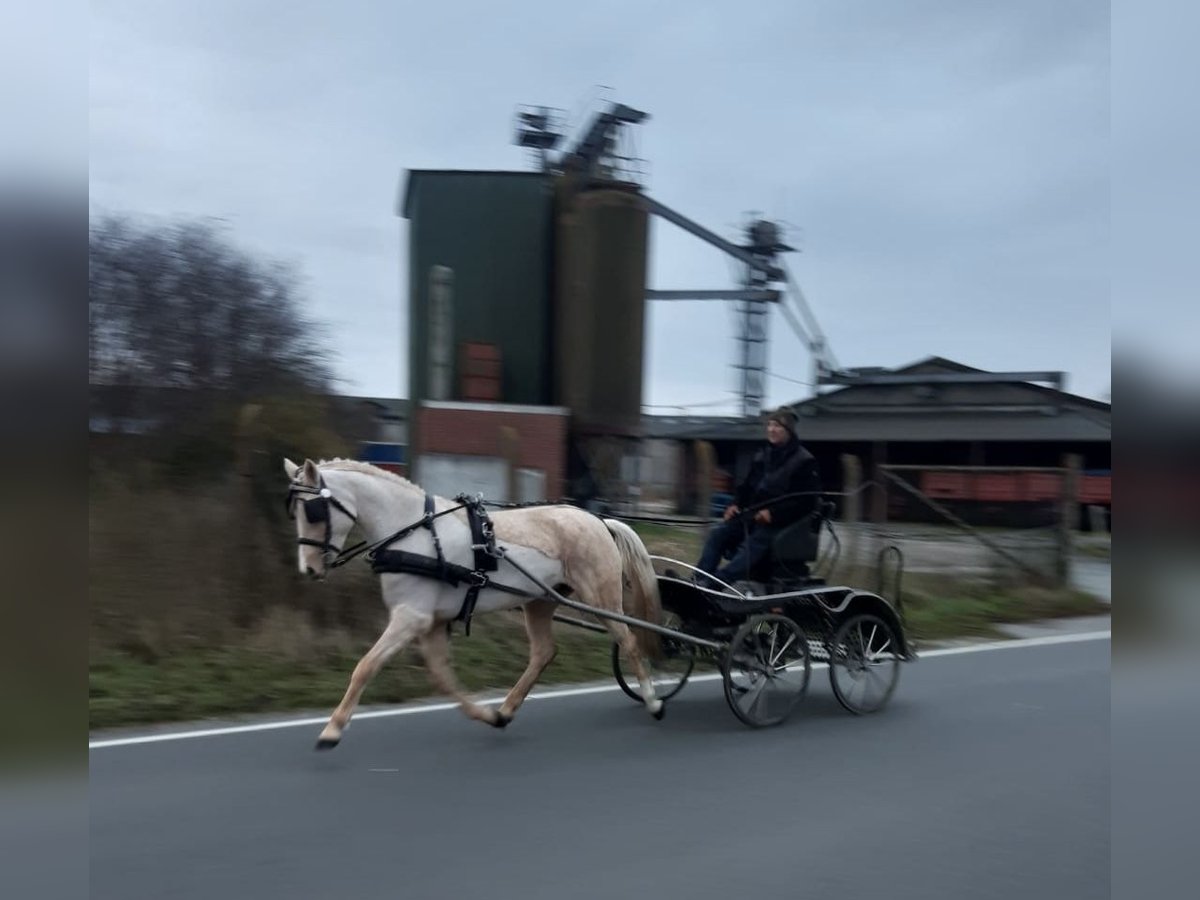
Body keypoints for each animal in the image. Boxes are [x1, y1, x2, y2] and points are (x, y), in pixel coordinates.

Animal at [285, 458, 672, 748]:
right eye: (296, 512)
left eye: (313, 510)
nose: (309, 569)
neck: (414, 532)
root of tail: (599, 520)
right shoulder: (431, 623)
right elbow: (443, 678)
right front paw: (487, 715)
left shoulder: (411, 617)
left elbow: (366, 666)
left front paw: (333, 729)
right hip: (539, 601)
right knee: (544, 652)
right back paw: (507, 709)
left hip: (600, 598)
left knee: (630, 642)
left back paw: (653, 701)